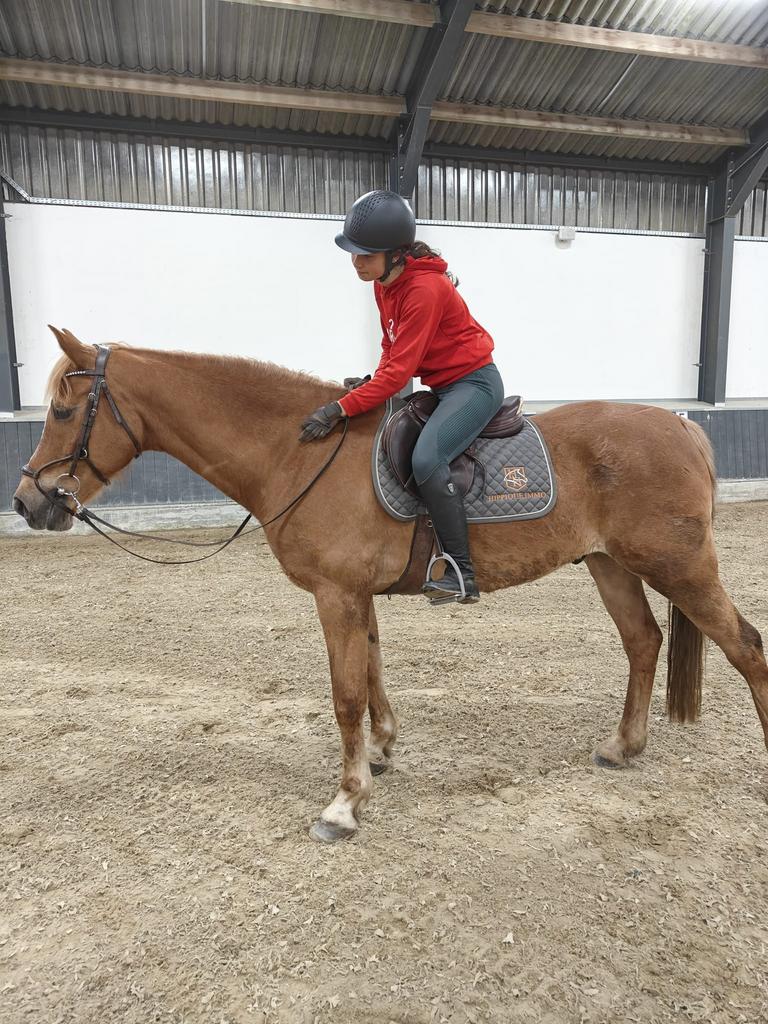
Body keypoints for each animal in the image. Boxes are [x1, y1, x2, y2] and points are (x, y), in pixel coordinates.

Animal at [13, 327, 768, 843]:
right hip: (613, 565)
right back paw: (623, 745)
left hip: (680, 566)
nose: (27, 503)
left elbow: (345, 693)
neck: (298, 452)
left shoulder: (335, 595)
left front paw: (344, 803)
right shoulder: (354, 596)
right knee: (644, 642)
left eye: (61, 412)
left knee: (747, 647)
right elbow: (373, 670)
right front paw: (379, 753)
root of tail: (682, 425)